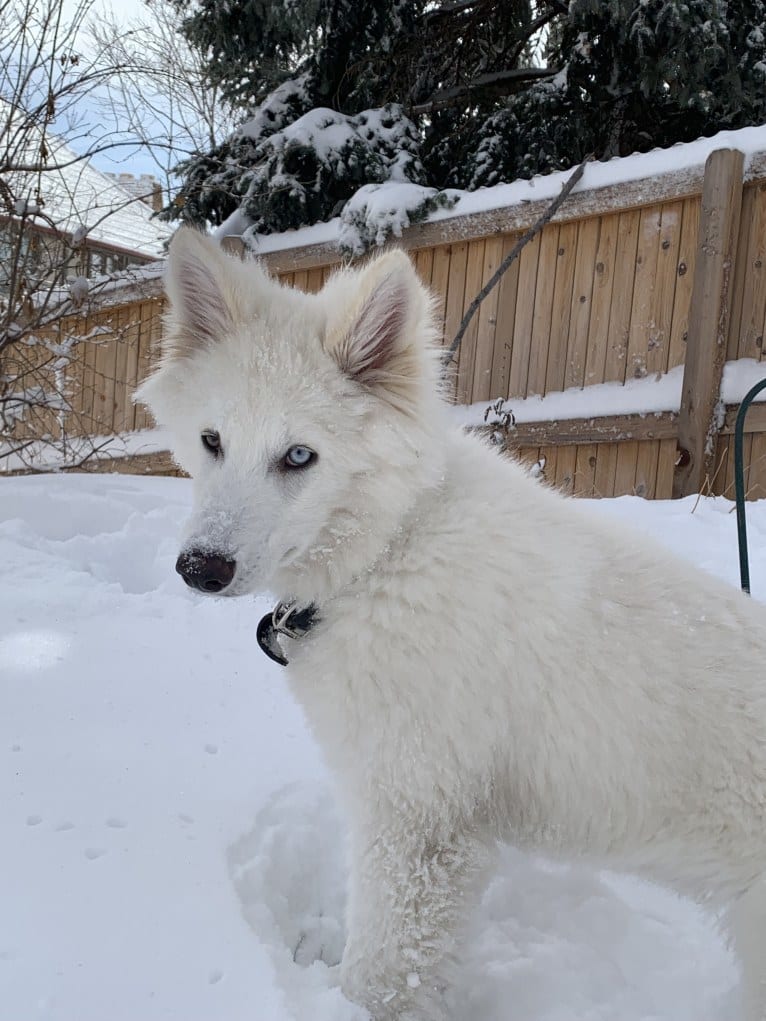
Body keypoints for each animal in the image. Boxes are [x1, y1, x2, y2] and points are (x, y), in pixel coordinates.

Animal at [140, 229, 766, 1021]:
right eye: (212, 440)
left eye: (299, 455)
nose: (200, 568)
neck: (393, 547)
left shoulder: (418, 823)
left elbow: (382, 972)